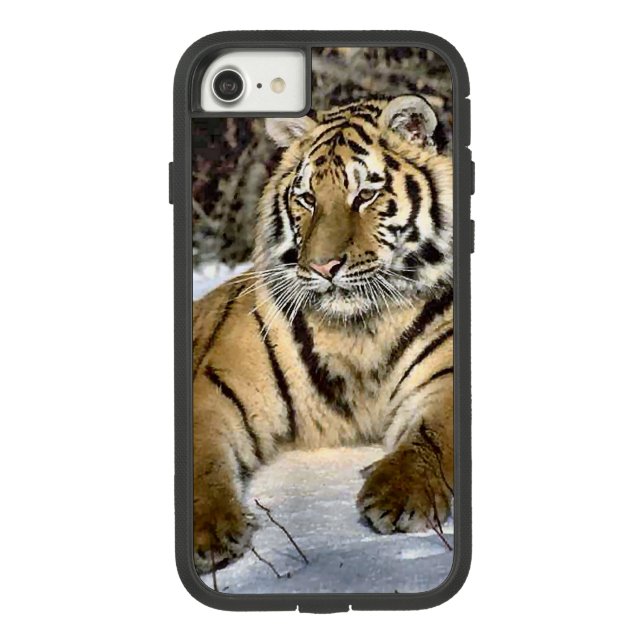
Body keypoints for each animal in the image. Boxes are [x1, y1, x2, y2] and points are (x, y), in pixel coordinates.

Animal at [192, 95, 454, 573]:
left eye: (365, 195)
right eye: (308, 199)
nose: (322, 267)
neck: (358, 329)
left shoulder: (444, 375)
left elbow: (434, 435)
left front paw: (399, 494)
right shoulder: (218, 386)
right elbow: (199, 459)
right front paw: (208, 532)